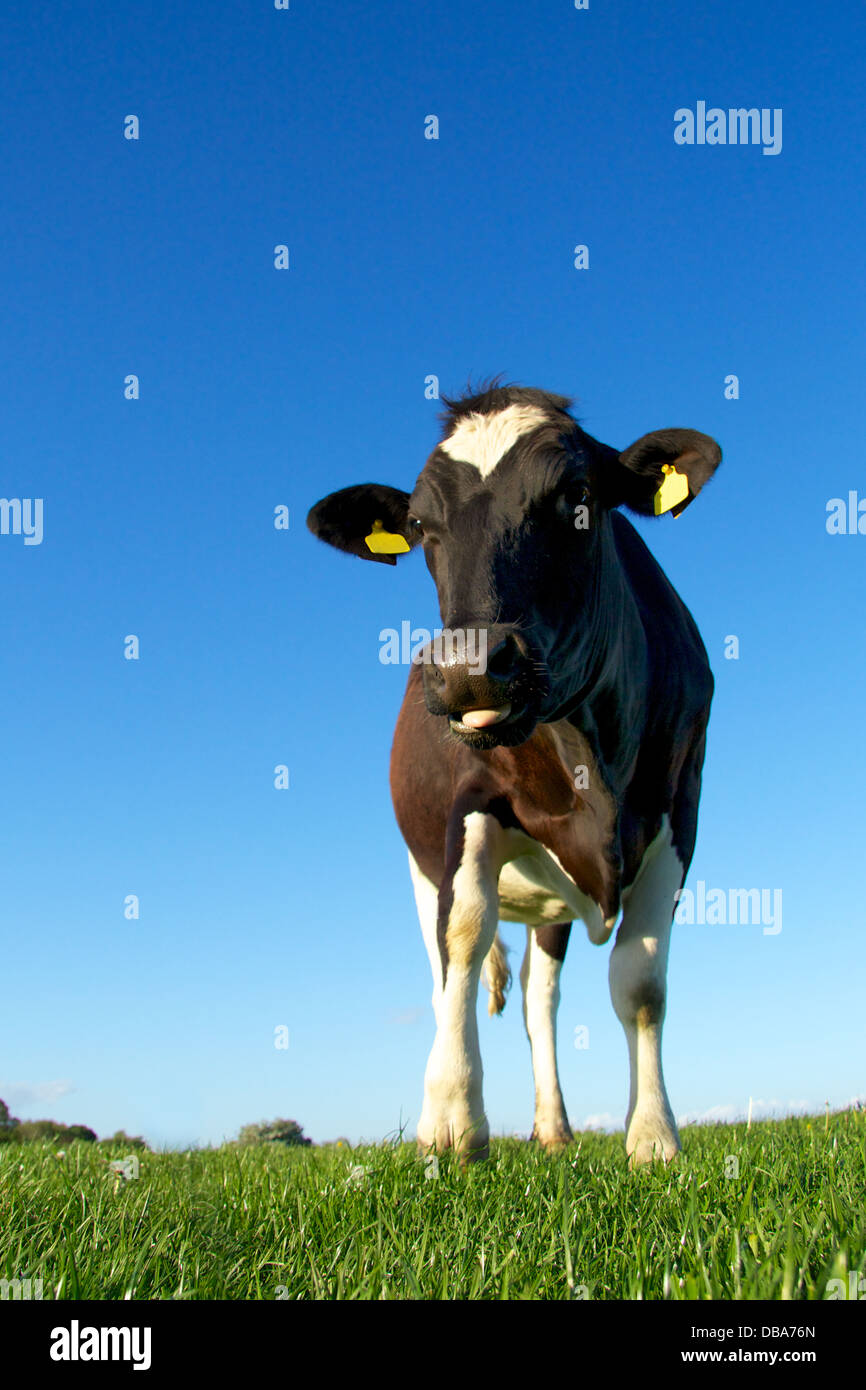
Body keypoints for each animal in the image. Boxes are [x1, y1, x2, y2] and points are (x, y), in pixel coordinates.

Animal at [308, 386, 722, 1167]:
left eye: (579, 496)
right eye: (418, 525)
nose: (470, 668)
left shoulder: (679, 809)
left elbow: (641, 983)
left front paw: (653, 1135)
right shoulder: (468, 805)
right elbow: (466, 936)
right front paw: (452, 1122)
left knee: (538, 1000)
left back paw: (554, 1129)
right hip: (420, 866)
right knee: (446, 975)